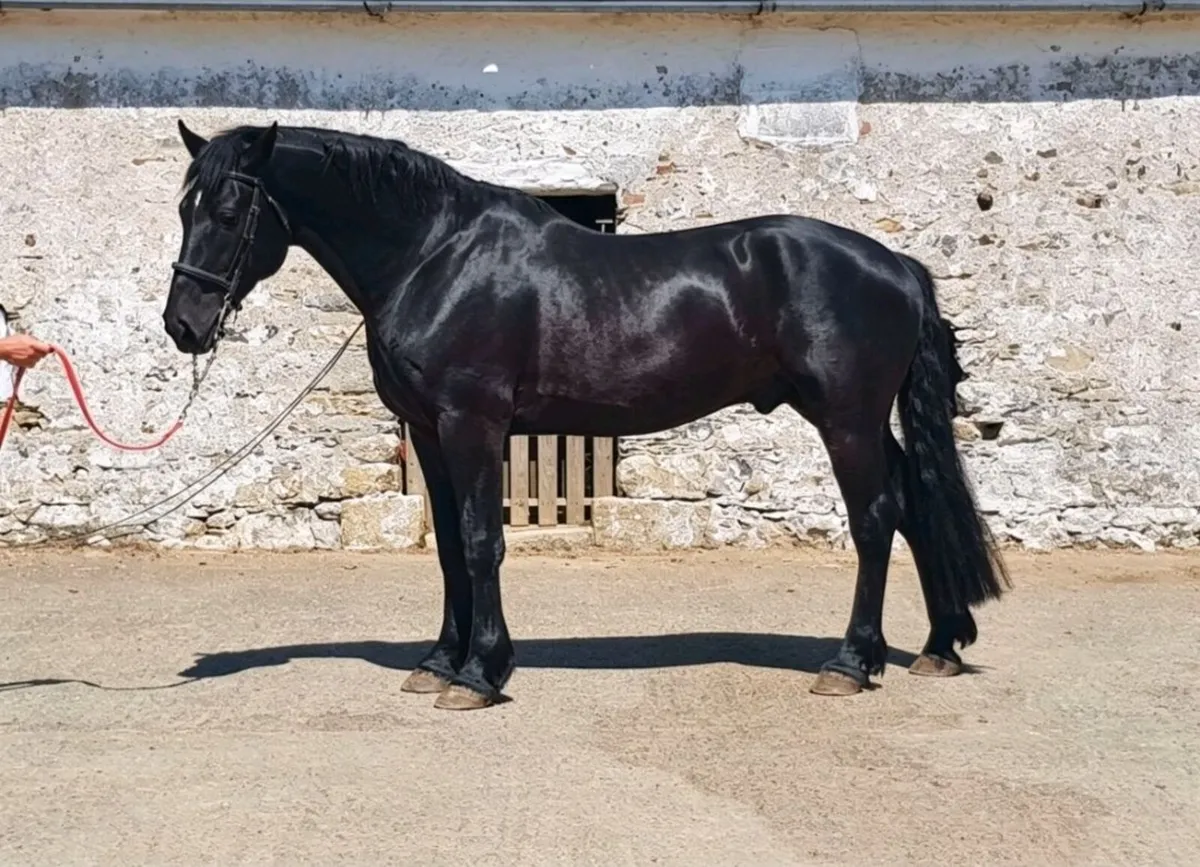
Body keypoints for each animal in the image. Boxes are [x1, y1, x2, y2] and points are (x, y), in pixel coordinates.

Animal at [162, 120, 1010, 711]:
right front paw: (439, 661)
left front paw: (479, 673)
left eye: (231, 210)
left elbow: (481, 541)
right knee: (916, 505)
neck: (434, 255)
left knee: (876, 517)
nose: (183, 324)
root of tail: (896, 265)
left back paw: (851, 662)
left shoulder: (473, 425)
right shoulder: (432, 433)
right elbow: (449, 549)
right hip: (861, 422)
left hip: (847, 420)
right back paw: (938, 645)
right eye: (183, 207)